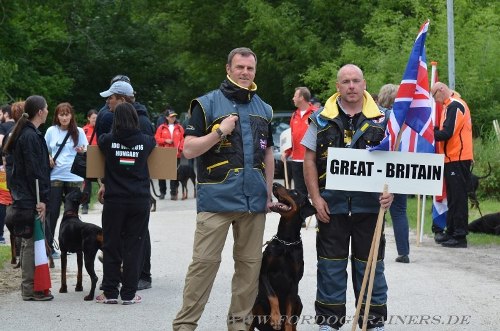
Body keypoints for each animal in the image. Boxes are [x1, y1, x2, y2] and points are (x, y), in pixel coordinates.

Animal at [250, 183, 316, 330]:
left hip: (299, 301)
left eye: (295, 193)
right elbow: (273, 295)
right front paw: (275, 318)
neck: (286, 242)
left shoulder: (295, 281)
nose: (275, 184)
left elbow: (289, 314)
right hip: (256, 304)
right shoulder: (264, 273)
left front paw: (283, 322)